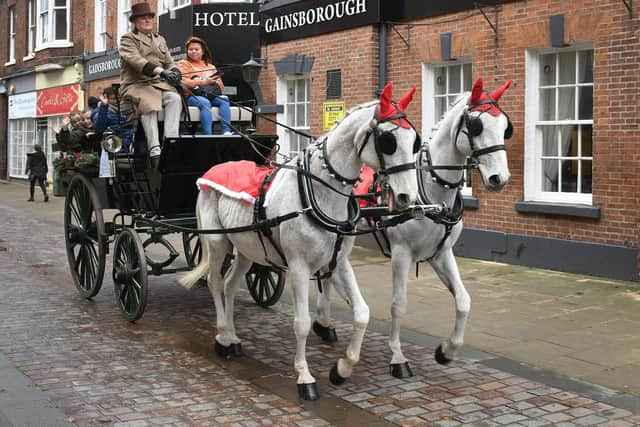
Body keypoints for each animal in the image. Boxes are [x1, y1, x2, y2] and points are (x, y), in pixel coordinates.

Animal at [180, 83, 420, 402]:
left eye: (415, 141)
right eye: (388, 140)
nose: (407, 198)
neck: (317, 192)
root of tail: (212, 170)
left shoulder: (338, 262)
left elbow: (362, 314)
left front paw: (342, 368)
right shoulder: (298, 267)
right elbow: (302, 324)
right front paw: (304, 376)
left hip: (246, 247)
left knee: (230, 284)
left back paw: (231, 335)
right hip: (217, 242)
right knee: (216, 282)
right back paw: (222, 338)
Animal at [312, 77, 512, 378]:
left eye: (504, 127)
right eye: (477, 126)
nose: (500, 178)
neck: (431, 190)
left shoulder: (441, 253)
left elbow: (463, 300)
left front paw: (447, 351)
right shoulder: (401, 253)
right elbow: (398, 305)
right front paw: (398, 358)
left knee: (328, 275)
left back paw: (324, 323)